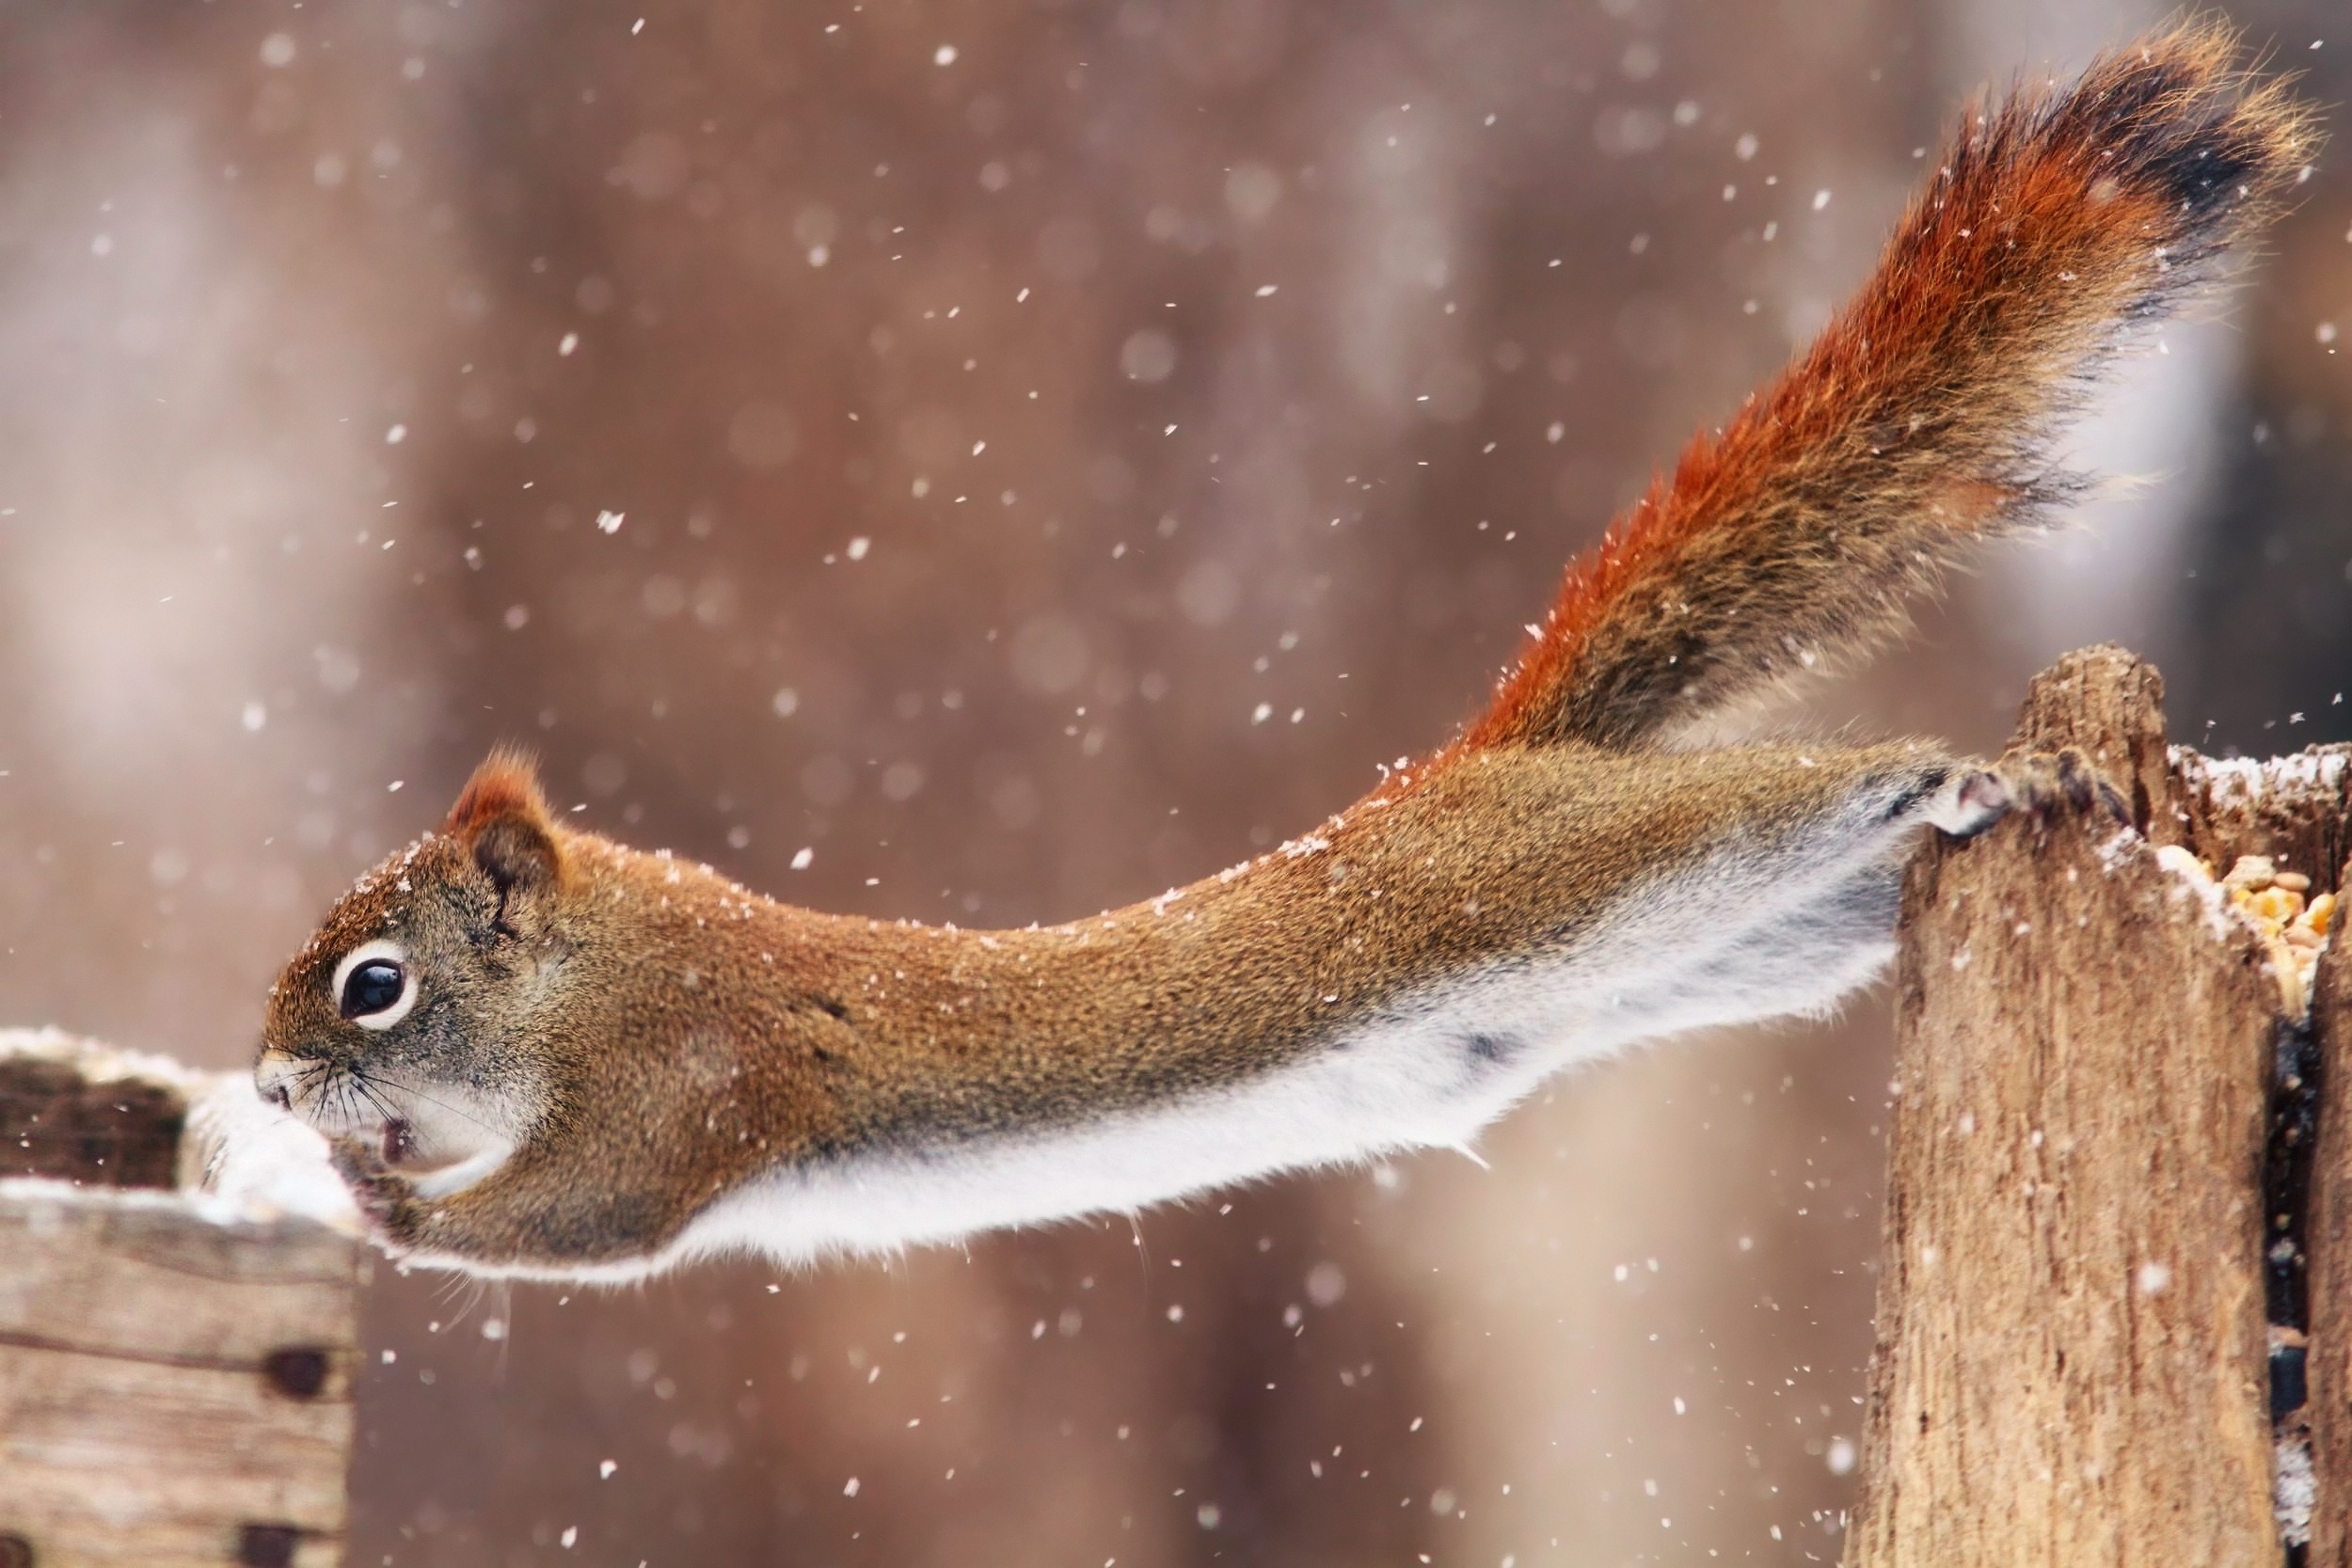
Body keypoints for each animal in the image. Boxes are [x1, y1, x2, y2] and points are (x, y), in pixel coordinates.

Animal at [257, 21, 2314, 1278]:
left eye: (373, 983)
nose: (271, 1085)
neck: (591, 973)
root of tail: (1479, 765)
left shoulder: (683, 1085)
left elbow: (583, 1223)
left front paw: (368, 1200)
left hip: (1595, 865)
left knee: (1808, 788)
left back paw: (1982, 763)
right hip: (1723, 945)